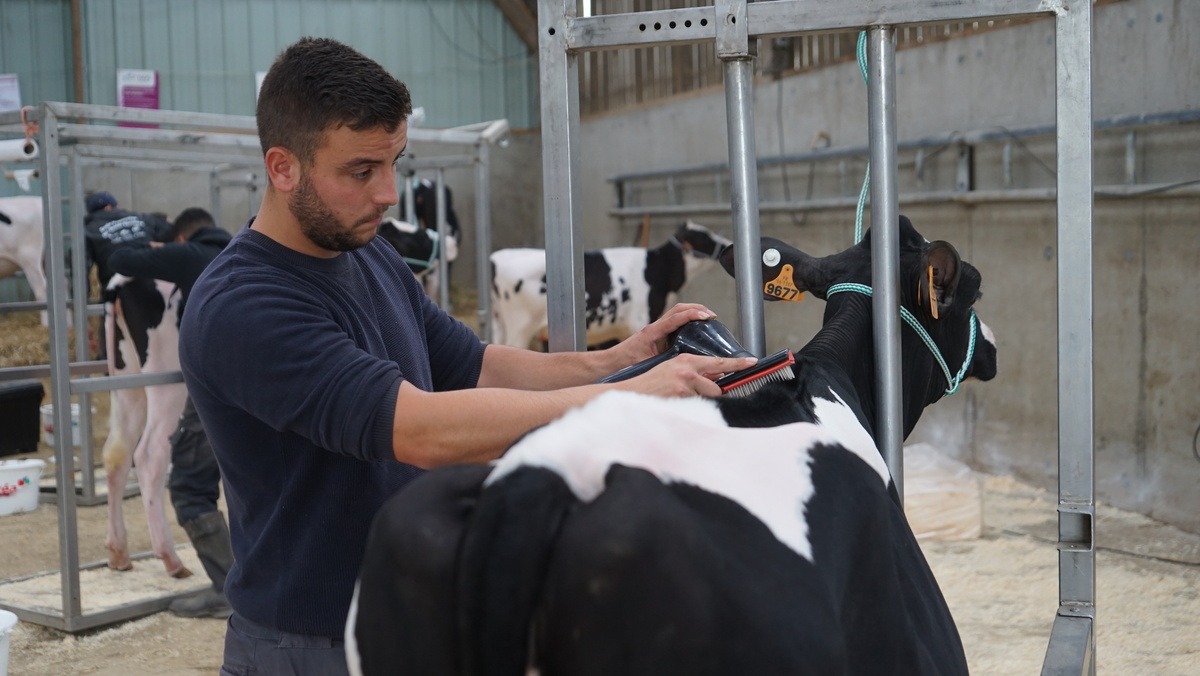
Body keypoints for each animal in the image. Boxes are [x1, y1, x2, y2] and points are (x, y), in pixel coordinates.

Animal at [487, 220, 729, 348]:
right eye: (704, 238)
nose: (727, 244)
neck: (659, 269)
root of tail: (496, 258)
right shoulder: (639, 320)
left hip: (499, 324)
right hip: (519, 328)